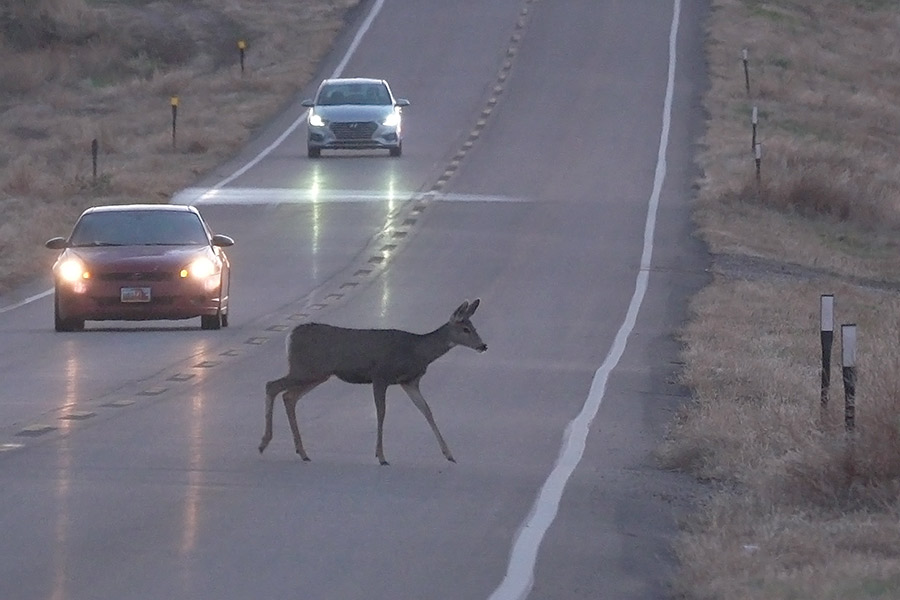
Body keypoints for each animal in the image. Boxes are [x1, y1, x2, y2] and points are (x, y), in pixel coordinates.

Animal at [258, 299, 487, 465]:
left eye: (473, 326)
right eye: (465, 329)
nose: (483, 346)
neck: (416, 351)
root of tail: (290, 336)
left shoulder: (409, 382)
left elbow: (427, 411)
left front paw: (449, 454)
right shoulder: (380, 376)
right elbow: (381, 412)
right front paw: (382, 456)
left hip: (317, 374)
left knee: (288, 396)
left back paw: (302, 452)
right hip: (305, 369)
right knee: (272, 385)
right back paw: (264, 443)